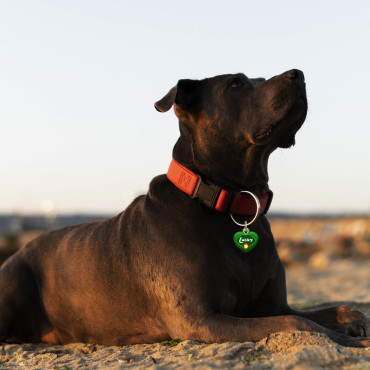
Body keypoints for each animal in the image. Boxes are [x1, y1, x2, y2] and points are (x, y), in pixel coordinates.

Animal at [0, 70, 370, 346]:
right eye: (236, 83)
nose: (299, 74)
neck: (231, 204)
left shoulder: (272, 305)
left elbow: (331, 311)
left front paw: (356, 322)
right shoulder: (202, 319)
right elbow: (300, 325)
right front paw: (353, 342)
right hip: (13, 283)